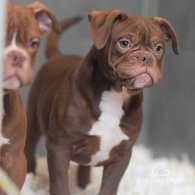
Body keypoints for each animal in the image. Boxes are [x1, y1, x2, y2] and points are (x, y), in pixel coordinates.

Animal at [24, 10, 178, 195]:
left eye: (159, 48)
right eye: (124, 43)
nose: (147, 57)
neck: (117, 95)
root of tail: (58, 56)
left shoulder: (122, 155)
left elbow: (109, 186)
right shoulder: (59, 146)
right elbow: (60, 183)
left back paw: (83, 186)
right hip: (33, 122)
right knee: (30, 149)